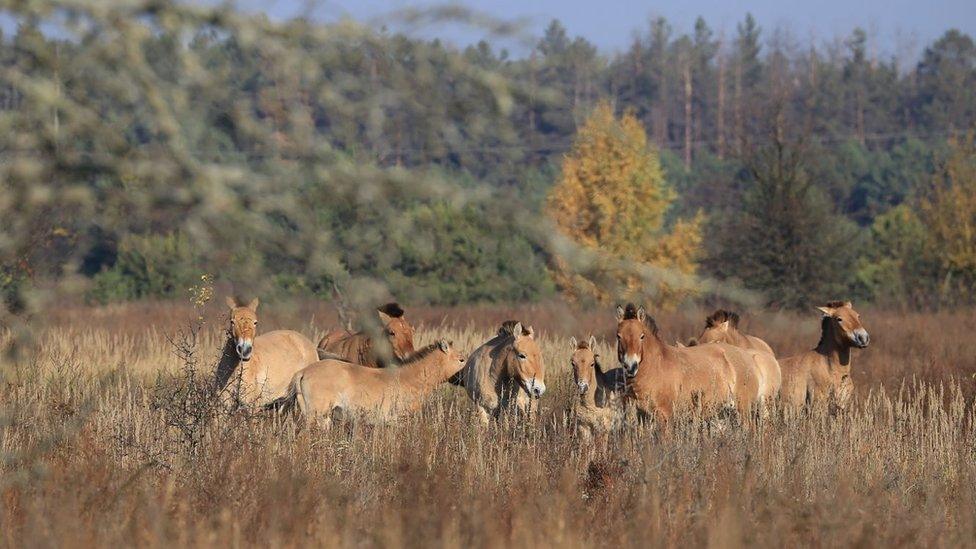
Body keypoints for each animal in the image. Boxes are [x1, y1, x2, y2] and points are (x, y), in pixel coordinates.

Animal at [616, 302, 772, 426]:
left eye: (642, 336)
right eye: (618, 336)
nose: (630, 366)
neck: (657, 366)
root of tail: (747, 356)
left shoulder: (665, 415)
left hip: (743, 411)